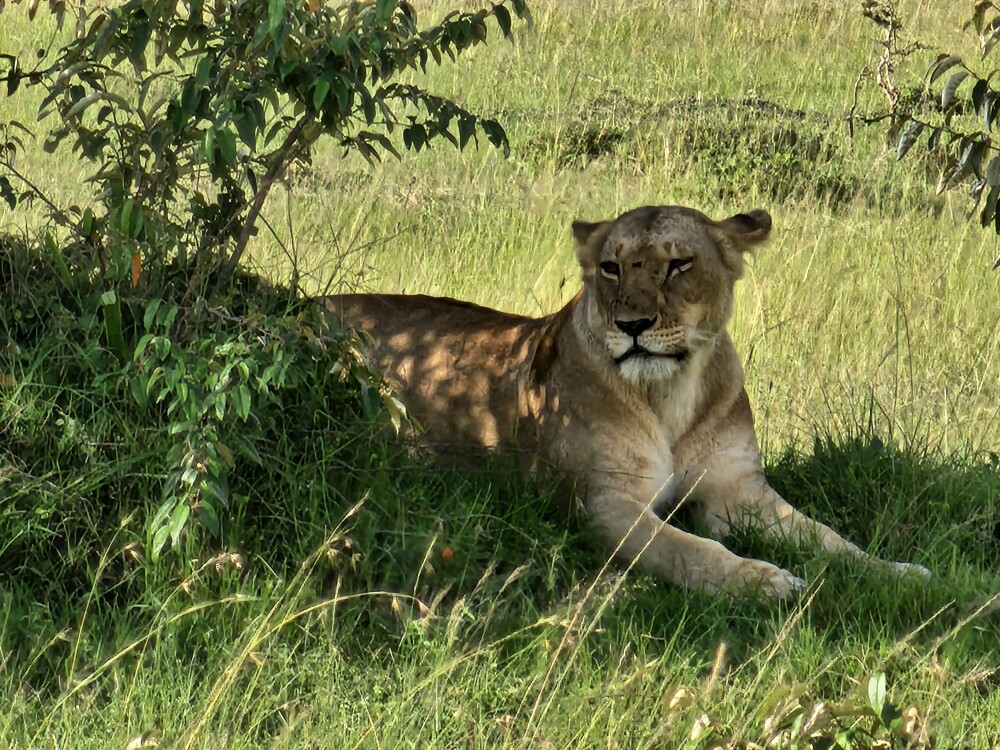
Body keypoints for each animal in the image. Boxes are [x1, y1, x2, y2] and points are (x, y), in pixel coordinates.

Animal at [322, 204, 930, 597]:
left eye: (679, 264)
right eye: (610, 268)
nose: (631, 325)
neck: (671, 395)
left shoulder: (738, 491)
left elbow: (830, 538)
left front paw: (898, 572)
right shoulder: (607, 502)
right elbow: (690, 551)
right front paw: (770, 581)